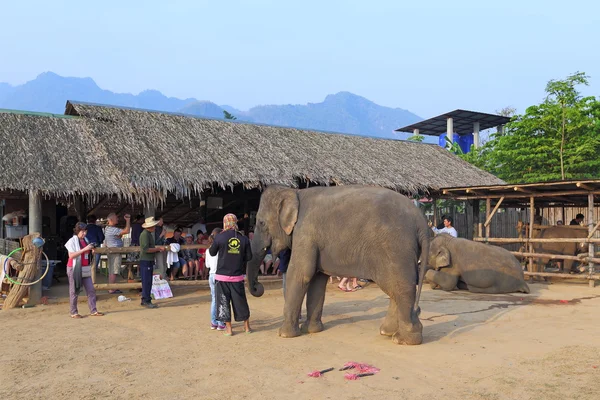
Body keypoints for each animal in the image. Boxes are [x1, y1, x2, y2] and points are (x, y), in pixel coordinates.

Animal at [246, 186, 428, 346]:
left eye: (261, 222)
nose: (258, 287)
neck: (295, 192)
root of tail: (421, 221)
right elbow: (317, 280)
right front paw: (312, 330)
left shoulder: (305, 233)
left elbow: (300, 274)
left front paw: (284, 335)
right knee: (395, 289)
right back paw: (388, 332)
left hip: (396, 249)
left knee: (401, 288)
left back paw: (403, 340)